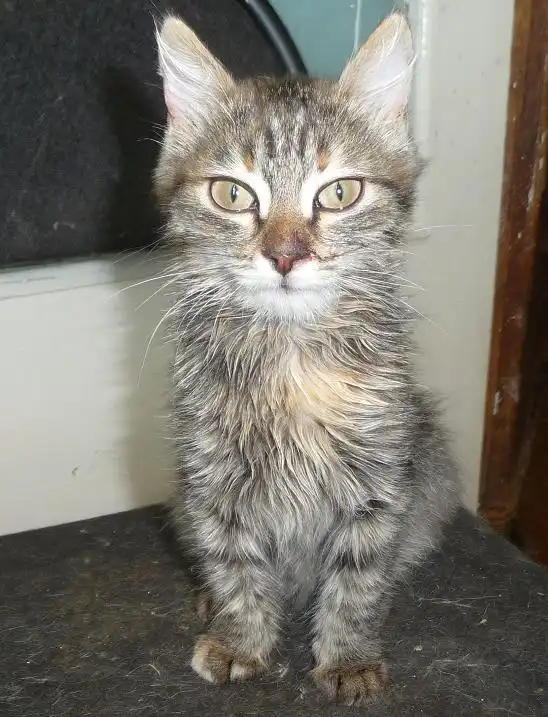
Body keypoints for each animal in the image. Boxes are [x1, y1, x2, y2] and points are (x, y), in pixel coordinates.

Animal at [153, 12, 460, 706]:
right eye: (232, 195)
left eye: (340, 192)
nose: (286, 256)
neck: (291, 357)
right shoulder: (209, 479)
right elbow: (233, 565)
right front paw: (240, 638)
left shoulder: (382, 479)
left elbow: (359, 578)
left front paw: (347, 655)